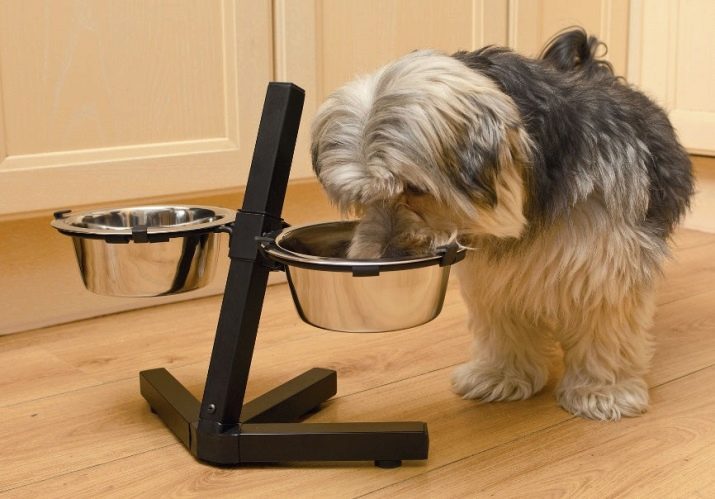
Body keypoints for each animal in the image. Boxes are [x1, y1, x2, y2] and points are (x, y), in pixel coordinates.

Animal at [309, 28, 694, 421]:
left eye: (415, 188)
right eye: (362, 198)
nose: (384, 255)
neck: (535, 177)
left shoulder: (602, 267)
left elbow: (604, 330)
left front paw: (602, 391)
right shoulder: (496, 276)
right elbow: (504, 323)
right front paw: (502, 375)